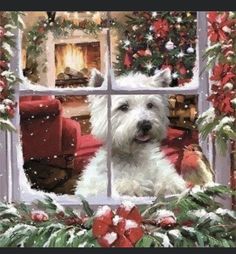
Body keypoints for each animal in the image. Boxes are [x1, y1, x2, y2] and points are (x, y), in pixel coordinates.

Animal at [74, 68, 186, 197]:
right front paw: (134, 185)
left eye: (150, 105)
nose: (146, 125)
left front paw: (171, 185)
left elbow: (167, 179)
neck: (133, 156)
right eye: (123, 107)